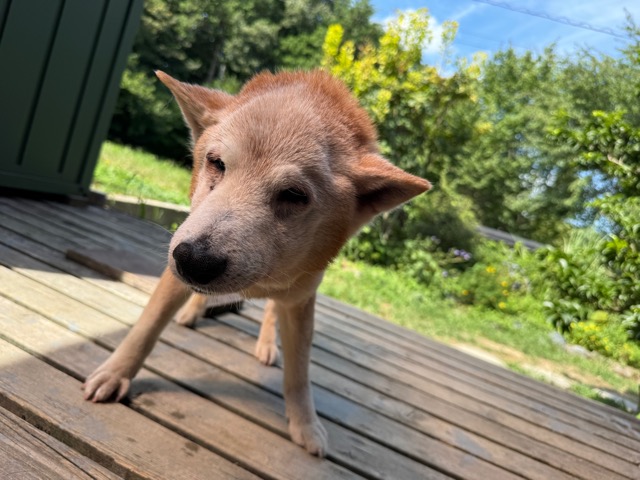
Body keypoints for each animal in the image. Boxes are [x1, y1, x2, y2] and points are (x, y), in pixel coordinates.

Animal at [83, 70, 431, 456]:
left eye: (294, 195)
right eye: (216, 162)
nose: (194, 260)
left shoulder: (301, 298)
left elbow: (298, 374)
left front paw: (304, 424)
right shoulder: (178, 259)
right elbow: (145, 329)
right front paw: (115, 373)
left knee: (270, 312)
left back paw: (265, 344)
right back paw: (192, 311)